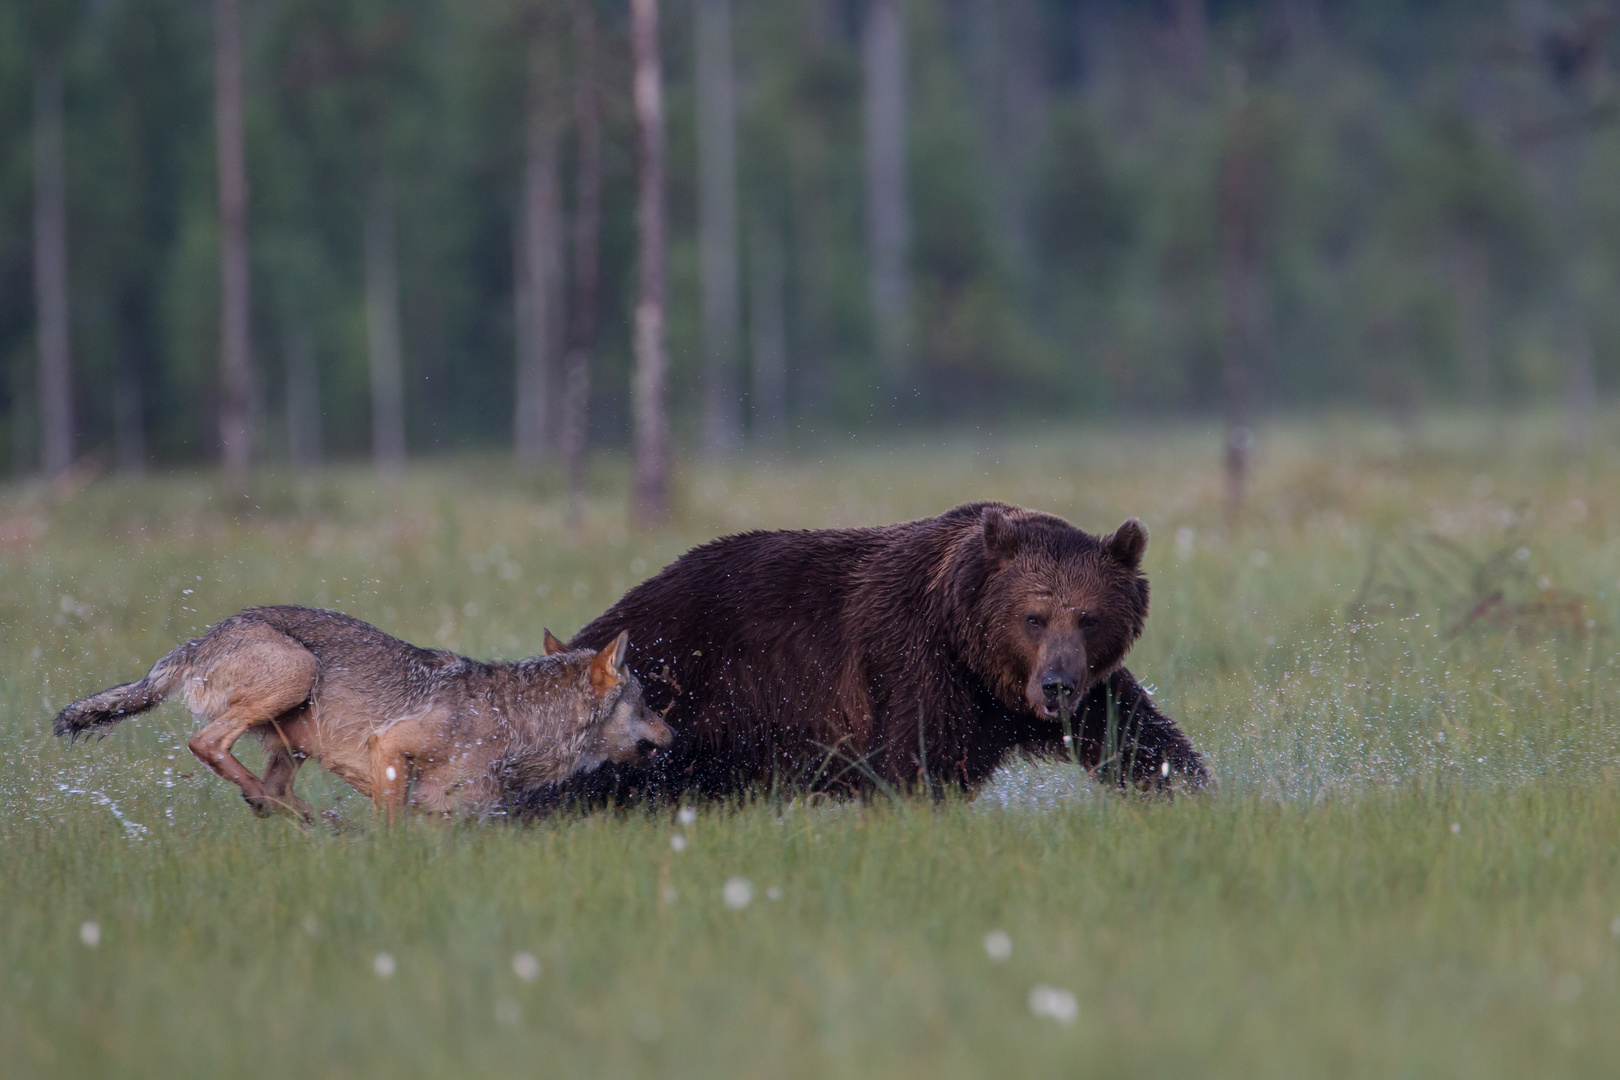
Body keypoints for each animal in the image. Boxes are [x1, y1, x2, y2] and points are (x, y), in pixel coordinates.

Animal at [515, 498, 1205, 803]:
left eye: (1088, 617)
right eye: (1033, 617)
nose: (1056, 685)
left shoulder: (1085, 693)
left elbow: (1135, 736)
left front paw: (1190, 789)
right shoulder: (916, 664)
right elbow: (915, 764)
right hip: (670, 689)